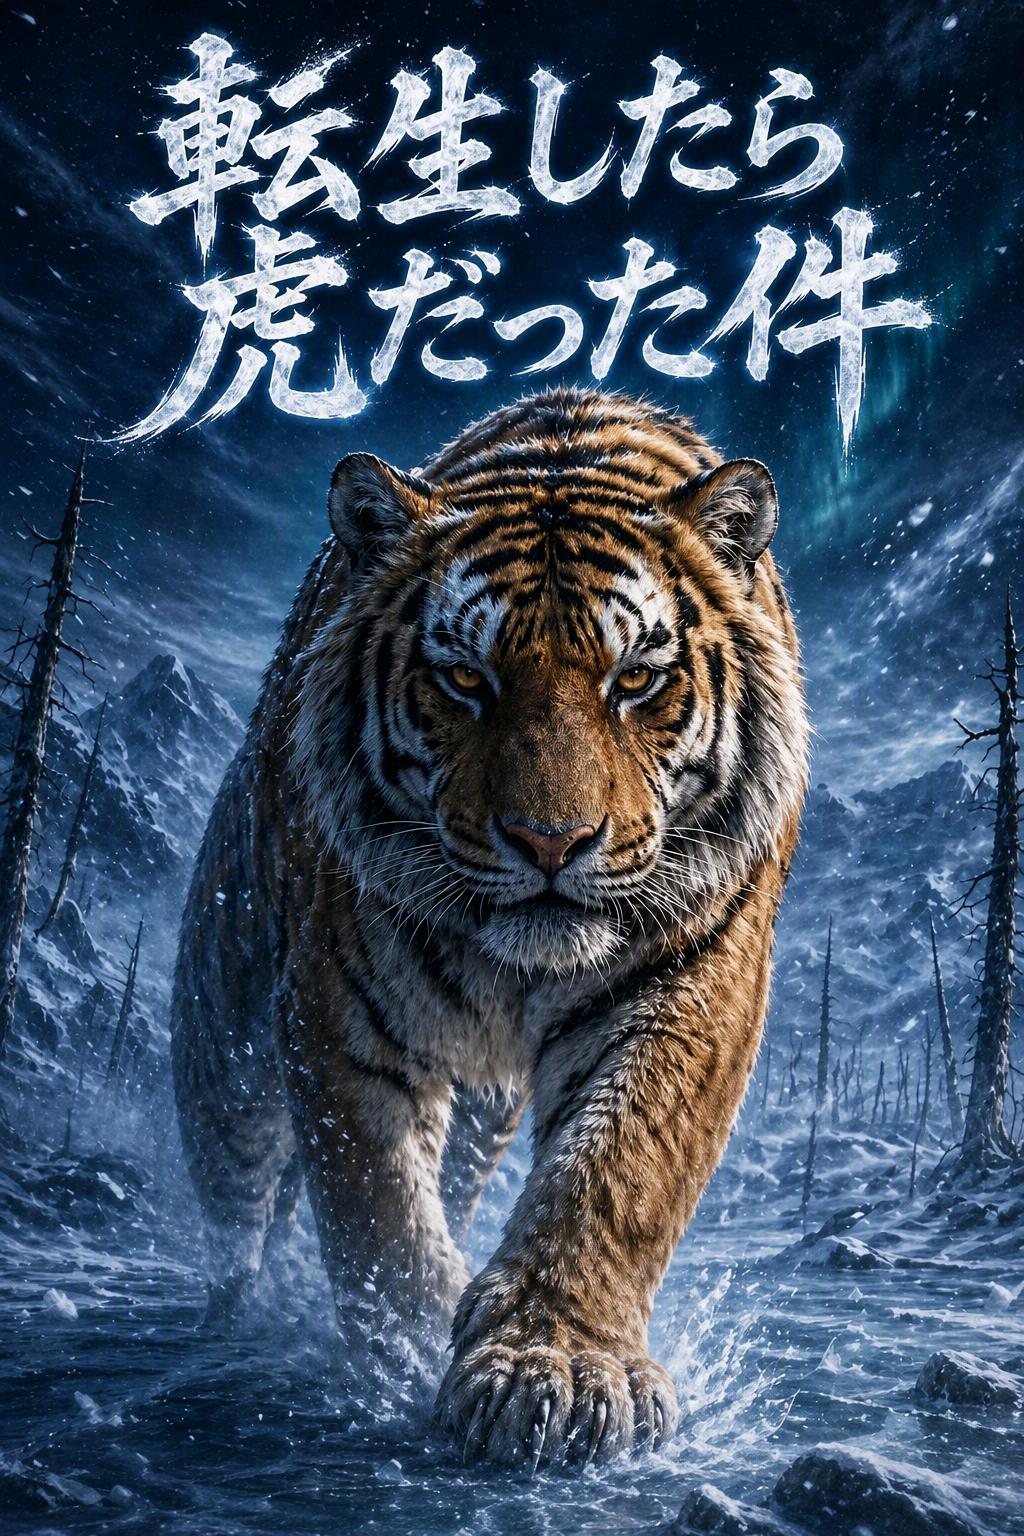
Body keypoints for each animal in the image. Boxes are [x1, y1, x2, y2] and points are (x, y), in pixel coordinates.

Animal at [170, 386, 807, 1469]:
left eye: (635, 680)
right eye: (467, 680)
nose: (551, 842)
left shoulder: (692, 986)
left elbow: (613, 1174)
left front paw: (552, 1368)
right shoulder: (337, 1012)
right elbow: (374, 1208)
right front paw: (405, 1348)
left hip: (478, 1117)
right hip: (227, 1042)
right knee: (237, 1200)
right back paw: (231, 1314)